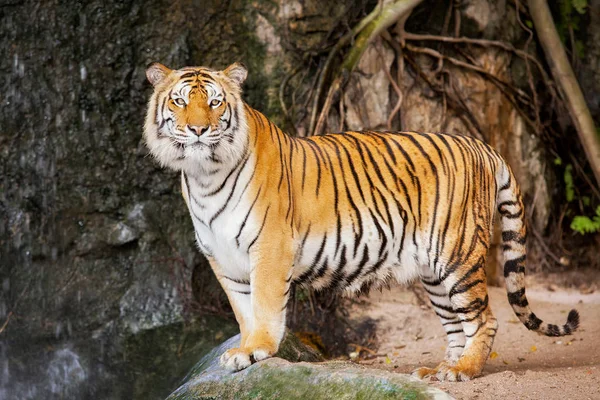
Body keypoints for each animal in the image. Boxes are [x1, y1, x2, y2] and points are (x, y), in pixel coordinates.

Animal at [143, 61, 580, 382]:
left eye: (215, 103)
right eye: (179, 102)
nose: (198, 130)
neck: (204, 174)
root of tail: (482, 146)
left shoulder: (268, 247)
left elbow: (265, 305)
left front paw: (257, 349)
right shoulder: (221, 256)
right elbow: (243, 309)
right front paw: (245, 349)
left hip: (457, 254)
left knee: (484, 320)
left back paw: (464, 371)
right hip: (434, 273)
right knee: (456, 324)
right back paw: (442, 369)